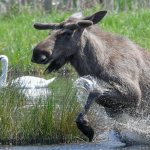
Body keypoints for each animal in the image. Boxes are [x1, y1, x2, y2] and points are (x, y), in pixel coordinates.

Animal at [31, 10, 150, 144]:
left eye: (68, 32)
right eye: (49, 32)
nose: (37, 53)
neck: (99, 64)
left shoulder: (134, 94)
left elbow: (94, 91)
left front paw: (86, 126)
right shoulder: (115, 110)